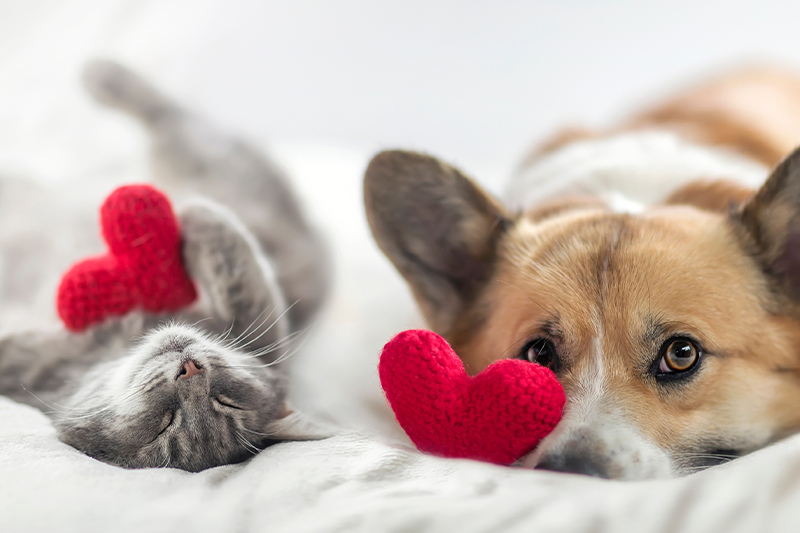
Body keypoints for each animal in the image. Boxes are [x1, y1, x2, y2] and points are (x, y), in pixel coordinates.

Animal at [0, 60, 332, 472]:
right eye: (164, 424)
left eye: (224, 404)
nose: (189, 369)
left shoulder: (266, 326)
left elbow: (238, 269)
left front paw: (192, 214)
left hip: (208, 158)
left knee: (174, 119)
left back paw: (104, 76)